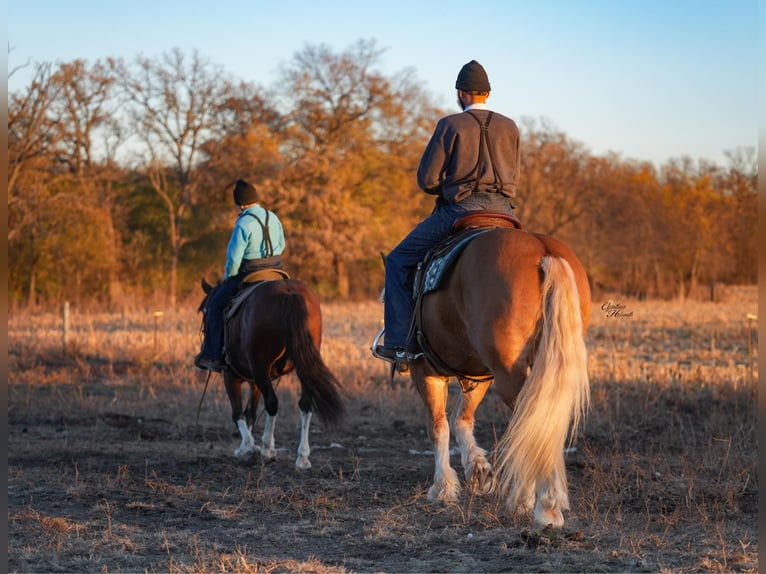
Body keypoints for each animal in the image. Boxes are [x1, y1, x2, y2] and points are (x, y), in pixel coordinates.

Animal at [199, 276, 344, 470]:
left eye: (204, 310)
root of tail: (289, 293)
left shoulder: (231, 377)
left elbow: (238, 413)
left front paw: (249, 448)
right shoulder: (255, 382)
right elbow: (250, 414)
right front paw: (247, 447)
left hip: (260, 368)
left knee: (272, 403)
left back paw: (267, 449)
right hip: (302, 366)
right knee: (305, 404)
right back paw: (302, 457)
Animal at [391, 222, 590, 530]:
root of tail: (544, 252)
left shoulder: (425, 370)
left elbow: (438, 427)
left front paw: (443, 487)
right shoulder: (477, 374)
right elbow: (461, 419)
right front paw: (478, 469)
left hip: (509, 374)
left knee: (532, 426)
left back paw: (543, 508)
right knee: (541, 423)